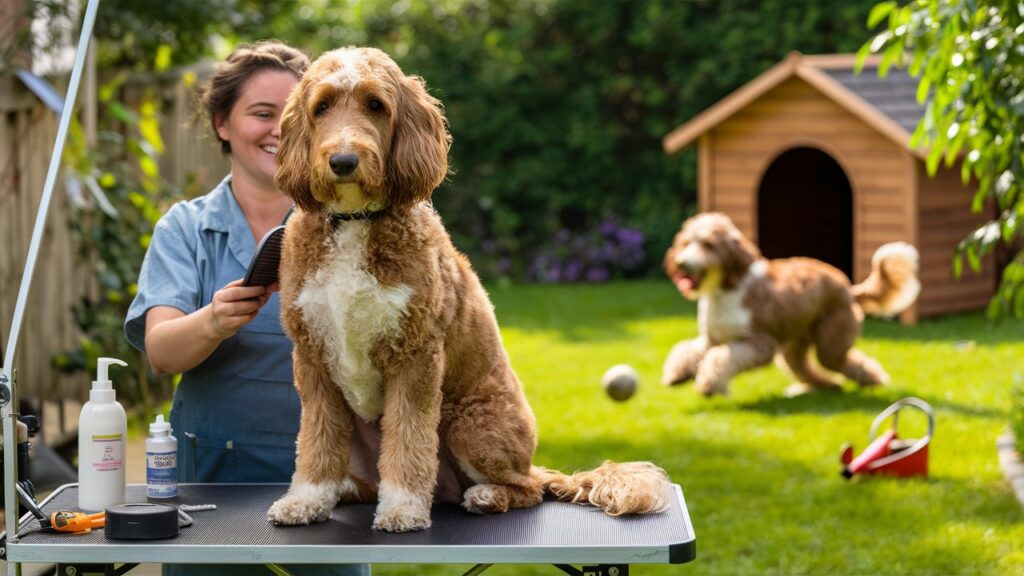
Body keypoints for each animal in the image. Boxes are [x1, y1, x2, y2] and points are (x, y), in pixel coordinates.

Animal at [262, 47, 671, 532]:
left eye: (376, 105)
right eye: (321, 107)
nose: (343, 161)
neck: (354, 223)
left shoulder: (416, 356)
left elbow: (409, 441)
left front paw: (402, 508)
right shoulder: (313, 358)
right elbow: (317, 440)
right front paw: (306, 500)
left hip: (470, 423)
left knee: (527, 489)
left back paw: (487, 495)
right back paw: (348, 489)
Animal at [663, 213, 921, 397]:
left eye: (708, 245)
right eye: (686, 243)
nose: (681, 263)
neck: (724, 290)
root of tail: (849, 288)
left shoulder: (759, 343)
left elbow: (721, 358)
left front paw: (708, 385)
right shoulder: (712, 338)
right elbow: (688, 351)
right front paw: (677, 375)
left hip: (830, 340)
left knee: (845, 361)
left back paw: (874, 380)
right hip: (795, 345)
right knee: (805, 368)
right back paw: (823, 386)